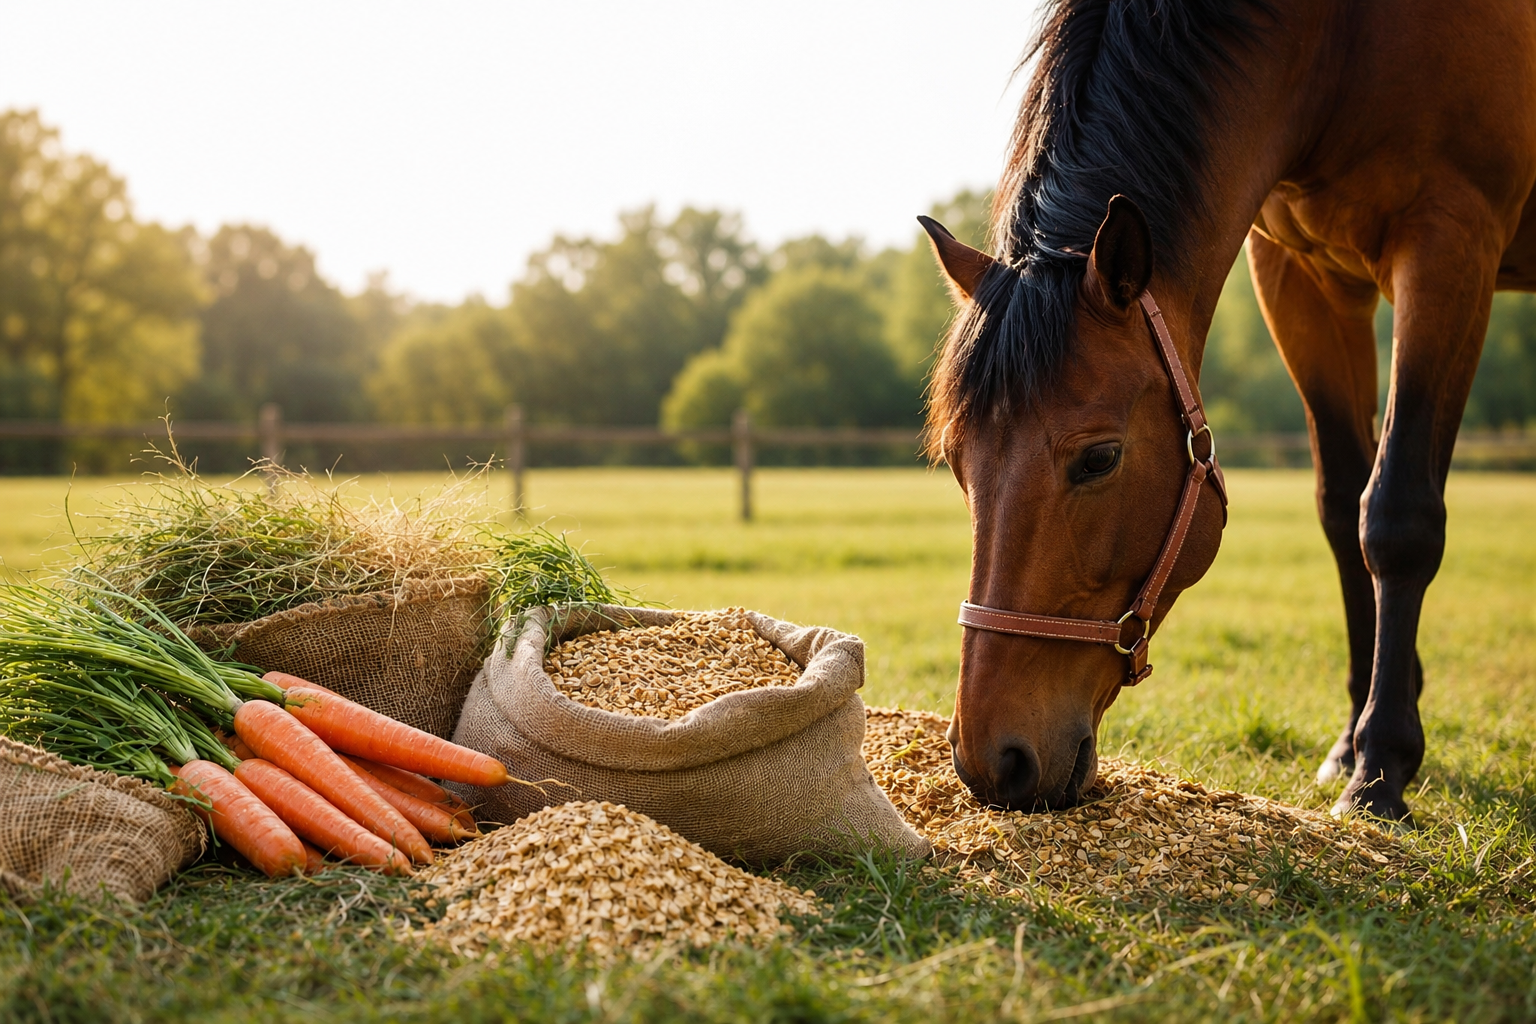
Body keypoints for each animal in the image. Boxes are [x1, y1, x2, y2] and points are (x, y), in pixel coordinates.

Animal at [921, 0, 1536, 825]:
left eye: (1099, 458)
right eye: (959, 465)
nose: (992, 762)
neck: (1341, 42)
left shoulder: (1450, 243)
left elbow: (1396, 518)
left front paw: (1380, 768)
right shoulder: (1302, 274)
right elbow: (1342, 510)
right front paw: (1351, 742)